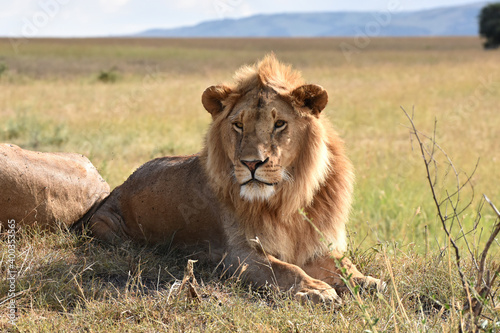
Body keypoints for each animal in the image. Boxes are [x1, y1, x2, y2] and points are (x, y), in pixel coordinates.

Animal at [86, 53, 382, 304]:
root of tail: (120, 187)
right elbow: (283, 269)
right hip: (107, 228)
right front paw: (315, 289)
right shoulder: (238, 254)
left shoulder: (316, 243)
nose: (251, 163)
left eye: (279, 124)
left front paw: (367, 281)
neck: (287, 200)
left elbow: (344, 265)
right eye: (238, 125)